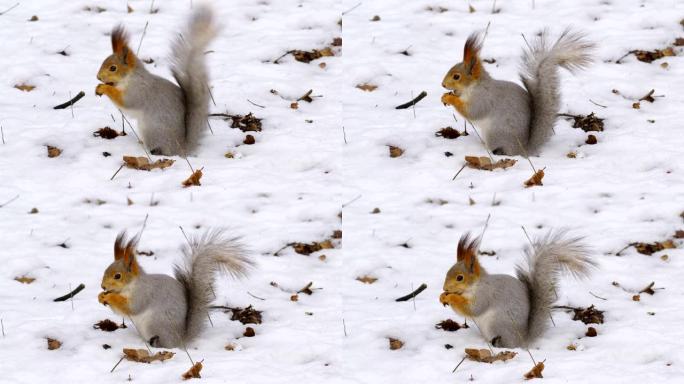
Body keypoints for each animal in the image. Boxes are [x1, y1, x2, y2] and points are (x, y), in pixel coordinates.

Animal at [95, 5, 215, 156]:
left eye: (113, 68)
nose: (98, 77)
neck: (131, 78)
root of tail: (180, 148)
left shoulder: (138, 92)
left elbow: (125, 102)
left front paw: (104, 88)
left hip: (152, 130)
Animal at [97, 230, 252, 350]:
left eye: (118, 276)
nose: (103, 286)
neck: (131, 285)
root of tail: (180, 339)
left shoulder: (143, 294)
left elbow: (131, 308)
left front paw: (109, 297)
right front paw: (101, 296)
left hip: (155, 323)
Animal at [440, 29, 596, 156]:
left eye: (456, 76)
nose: (443, 84)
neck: (473, 87)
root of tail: (523, 149)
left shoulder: (483, 99)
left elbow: (472, 113)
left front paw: (450, 99)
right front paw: (445, 97)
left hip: (495, 133)